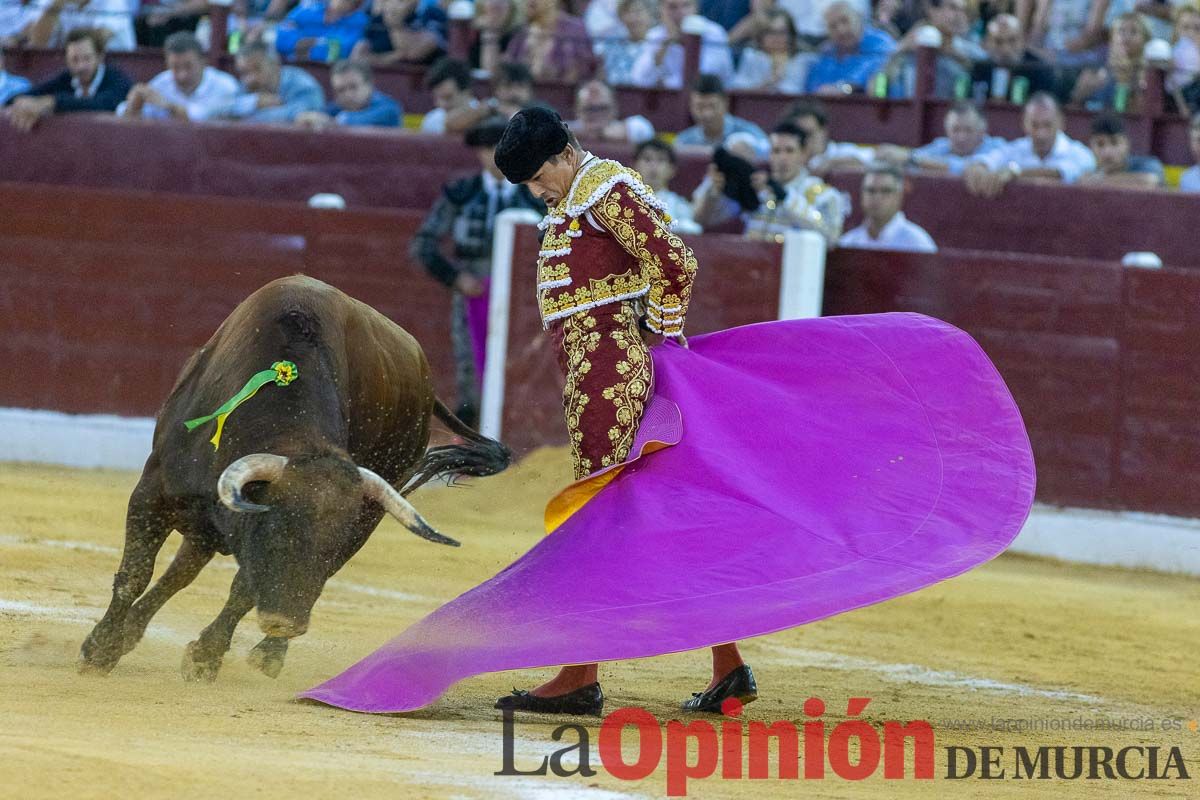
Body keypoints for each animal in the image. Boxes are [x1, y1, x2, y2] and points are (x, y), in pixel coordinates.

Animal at [75, 277, 506, 681]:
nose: (287, 623)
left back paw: (268, 654)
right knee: (181, 571)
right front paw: (100, 650)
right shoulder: (153, 494)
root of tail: (424, 375)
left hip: (367, 516)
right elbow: (135, 574)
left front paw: (204, 657)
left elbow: (244, 588)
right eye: (279, 531)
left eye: (332, 545)